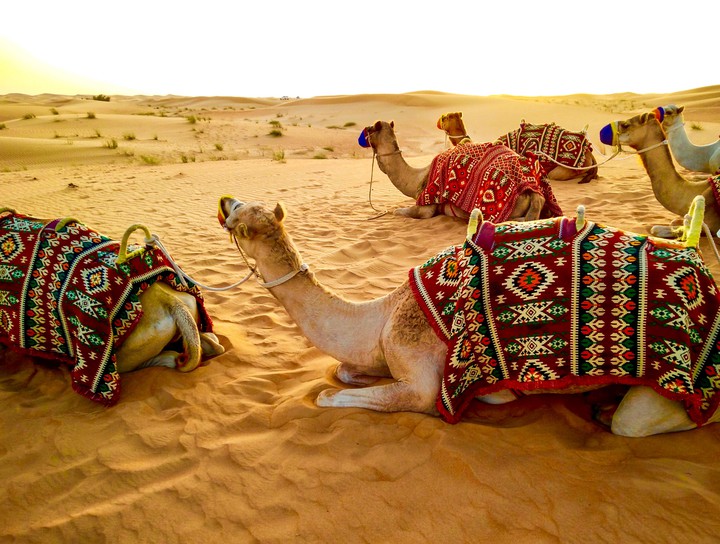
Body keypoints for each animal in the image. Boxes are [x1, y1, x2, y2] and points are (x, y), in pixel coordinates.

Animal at [218, 195, 720, 437]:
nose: (223, 201)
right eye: (241, 205)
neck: (382, 314)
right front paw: (499, 395)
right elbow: (343, 372)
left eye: (240, 218)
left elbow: (329, 395)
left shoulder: (420, 379)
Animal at [359, 120, 561, 222]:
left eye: (370, 129)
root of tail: (534, 192)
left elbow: (399, 211)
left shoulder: (426, 205)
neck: (416, 178)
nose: (362, 136)